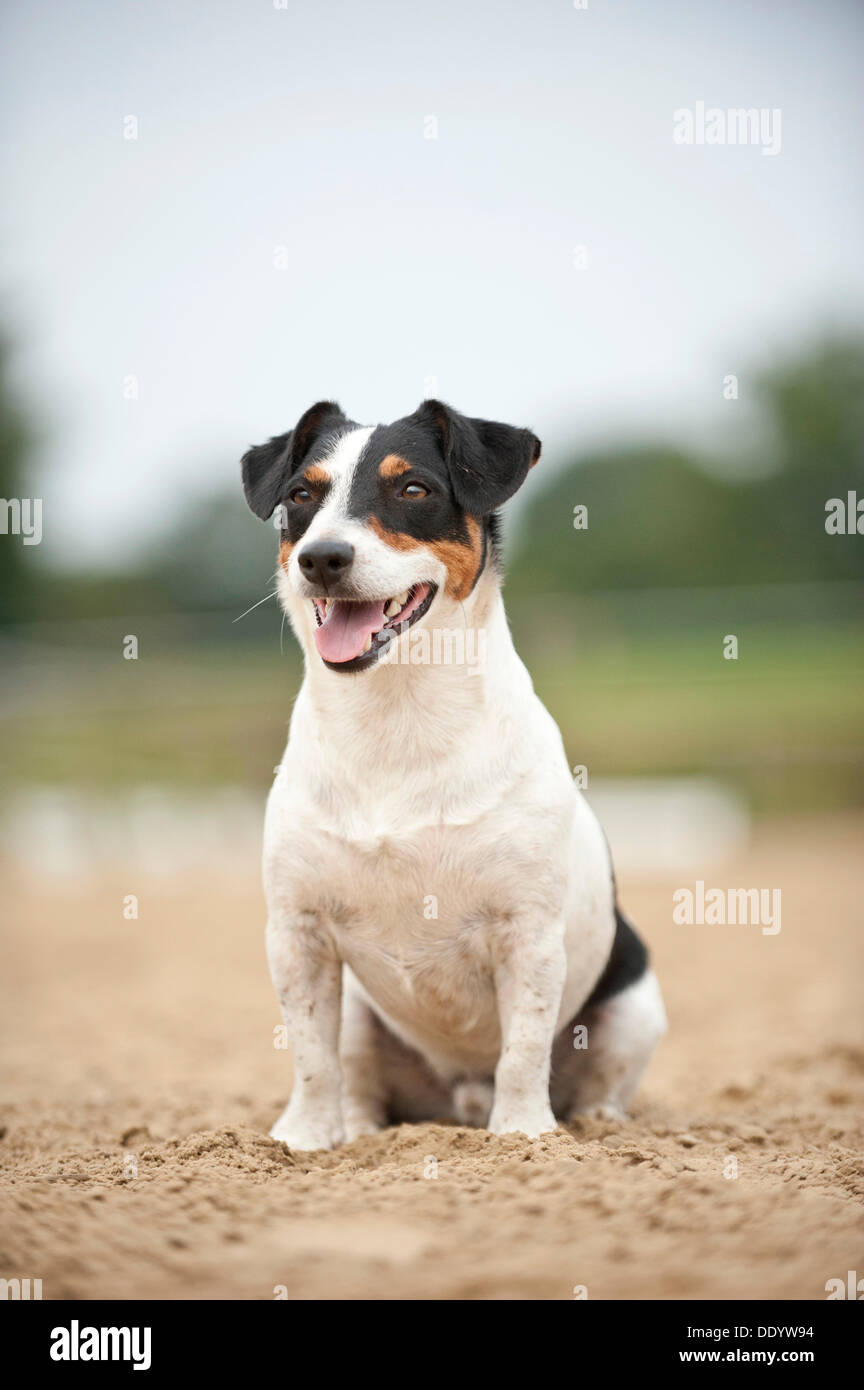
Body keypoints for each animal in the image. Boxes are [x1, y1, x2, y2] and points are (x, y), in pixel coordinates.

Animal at [244, 403, 669, 1150]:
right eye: (301, 495)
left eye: (413, 488)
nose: (322, 557)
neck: (396, 717)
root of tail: (462, 1095)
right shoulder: (297, 933)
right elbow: (311, 1056)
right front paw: (303, 1139)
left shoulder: (527, 934)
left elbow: (523, 1051)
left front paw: (523, 1134)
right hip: (361, 1011)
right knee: (356, 1077)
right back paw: (359, 1131)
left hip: (635, 1006)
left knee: (593, 1083)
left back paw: (593, 1123)